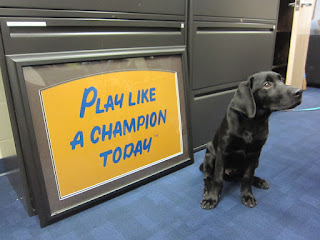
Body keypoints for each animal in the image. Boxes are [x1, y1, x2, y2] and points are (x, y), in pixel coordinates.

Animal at [200, 70, 302, 209]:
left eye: (282, 79)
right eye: (267, 84)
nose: (299, 91)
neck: (252, 122)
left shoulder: (255, 153)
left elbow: (247, 177)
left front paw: (247, 195)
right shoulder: (222, 152)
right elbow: (217, 178)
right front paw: (212, 198)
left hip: (256, 161)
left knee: (242, 175)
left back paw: (259, 181)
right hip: (210, 155)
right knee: (208, 176)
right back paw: (207, 189)